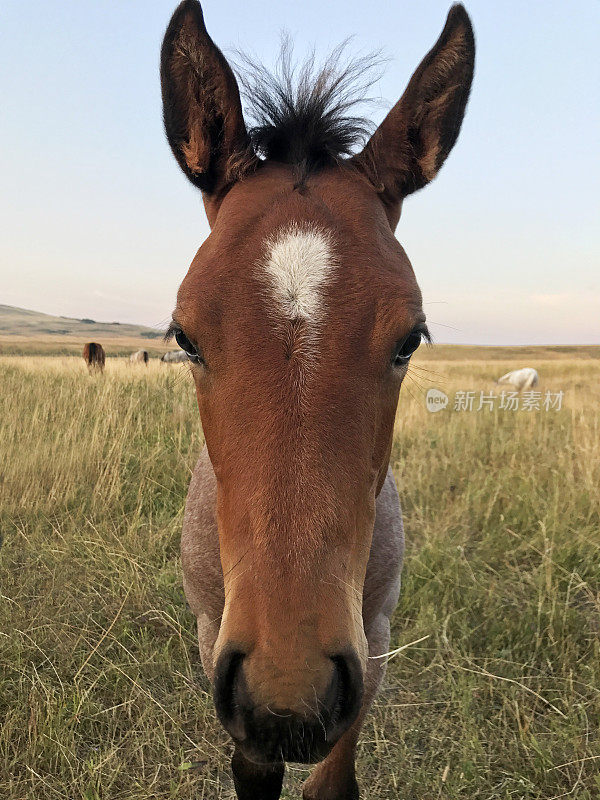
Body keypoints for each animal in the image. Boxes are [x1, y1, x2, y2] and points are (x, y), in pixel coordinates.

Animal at [159, 3, 474, 796]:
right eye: (185, 336)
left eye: (410, 339)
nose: (287, 701)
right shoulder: (216, 644)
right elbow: (253, 769)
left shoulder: (373, 641)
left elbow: (333, 778)